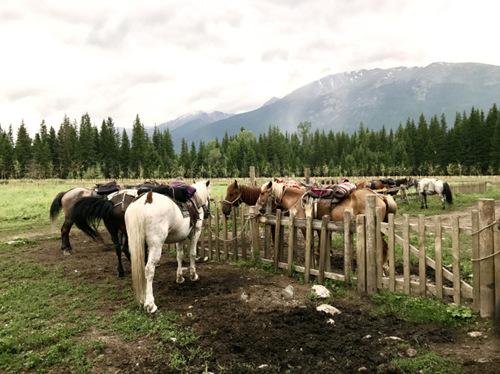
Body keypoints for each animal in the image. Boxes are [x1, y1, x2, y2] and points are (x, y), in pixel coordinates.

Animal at [127, 180, 211, 314]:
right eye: (209, 197)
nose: (207, 213)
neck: (194, 200)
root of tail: (145, 200)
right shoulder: (195, 233)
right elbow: (192, 254)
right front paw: (193, 275)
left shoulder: (180, 237)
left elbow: (179, 256)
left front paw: (180, 277)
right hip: (156, 245)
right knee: (149, 269)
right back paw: (150, 304)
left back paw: (142, 299)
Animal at [256, 181, 396, 266]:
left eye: (262, 193)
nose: (260, 209)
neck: (297, 200)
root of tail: (380, 196)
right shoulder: (317, 227)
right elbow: (320, 245)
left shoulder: (305, 227)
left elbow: (310, 245)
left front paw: (312, 263)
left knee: (384, 247)